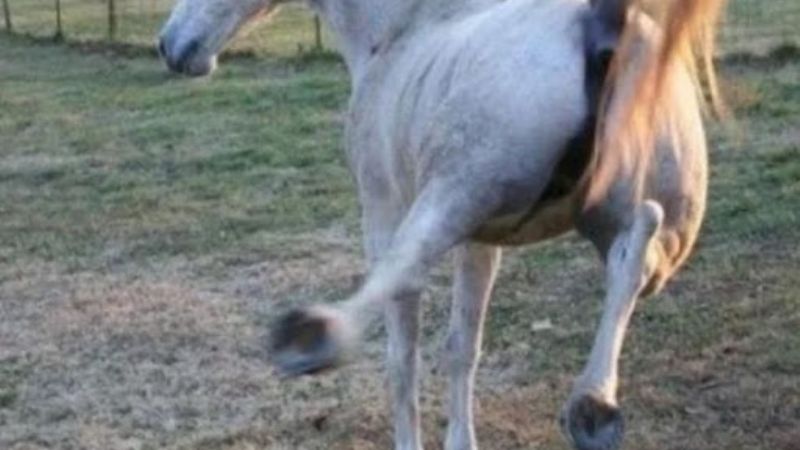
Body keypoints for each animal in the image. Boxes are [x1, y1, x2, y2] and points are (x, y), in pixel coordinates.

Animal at [159, 0, 724, 449]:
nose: (170, 46)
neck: (400, 32)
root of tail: (606, 28)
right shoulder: (483, 240)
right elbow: (462, 346)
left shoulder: (386, 210)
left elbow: (402, 349)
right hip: (652, 233)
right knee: (636, 250)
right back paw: (593, 406)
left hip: (451, 197)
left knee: (399, 276)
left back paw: (312, 337)